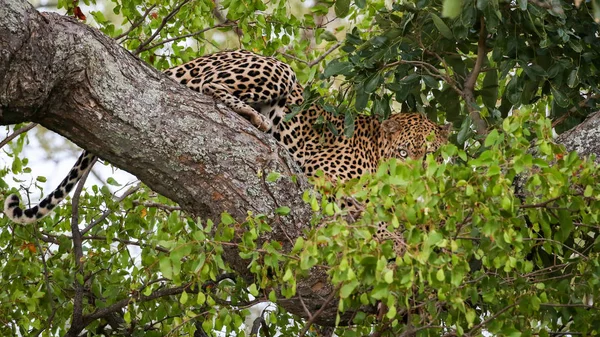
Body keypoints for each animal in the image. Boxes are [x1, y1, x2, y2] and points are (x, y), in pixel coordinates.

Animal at [3, 48, 446, 243]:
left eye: (433, 156)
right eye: (404, 154)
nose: (419, 180)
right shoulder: (330, 181)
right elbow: (372, 210)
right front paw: (396, 233)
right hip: (275, 70)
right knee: (210, 88)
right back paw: (254, 118)